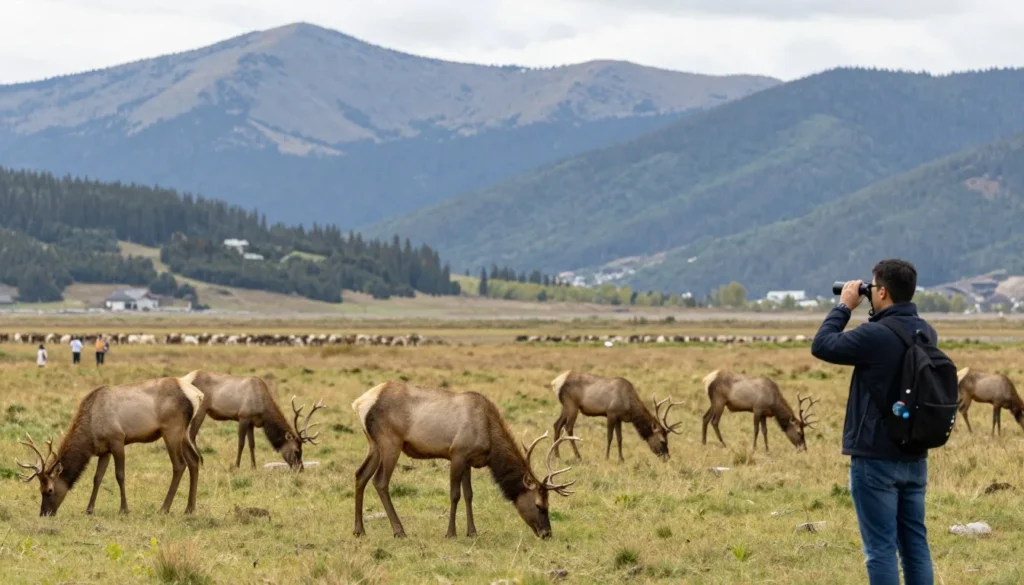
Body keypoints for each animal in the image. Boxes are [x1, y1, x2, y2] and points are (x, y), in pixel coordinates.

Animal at [15, 373, 205, 517]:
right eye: (39, 489)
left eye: (49, 490)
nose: (44, 513)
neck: (90, 431)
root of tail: (197, 395)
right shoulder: (103, 450)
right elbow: (97, 478)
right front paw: (89, 509)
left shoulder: (118, 439)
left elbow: (119, 475)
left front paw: (124, 509)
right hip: (185, 432)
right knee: (194, 460)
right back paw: (189, 508)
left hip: (172, 429)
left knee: (179, 464)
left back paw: (164, 508)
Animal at [184, 370, 325, 471]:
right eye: (296, 451)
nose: (301, 469)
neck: (262, 410)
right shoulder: (243, 416)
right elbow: (241, 443)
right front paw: (236, 466)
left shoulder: (251, 422)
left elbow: (252, 444)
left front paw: (254, 466)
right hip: (201, 409)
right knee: (191, 435)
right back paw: (200, 461)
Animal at [351, 380, 581, 540]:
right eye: (539, 505)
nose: (547, 533)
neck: (489, 438)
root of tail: (360, 403)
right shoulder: (457, 453)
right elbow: (455, 494)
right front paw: (451, 532)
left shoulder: (469, 460)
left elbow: (469, 494)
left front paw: (472, 531)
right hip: (390, 442)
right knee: (380, 481)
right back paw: (399, 530)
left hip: (373, 445)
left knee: (360, 475)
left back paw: (359, 530)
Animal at [549, 370, 683, 462]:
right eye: (662, 441)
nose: (667, 457)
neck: (629, 406)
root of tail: (555, 382)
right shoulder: (611, 413)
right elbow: (609, 437)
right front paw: (607, 457)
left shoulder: (619, 418)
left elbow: (620, 438)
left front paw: (621, 459)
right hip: (572, 406)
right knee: (568, 427)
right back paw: (578, 456)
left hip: (565, 407)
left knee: (557, 425)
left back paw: (556, 456)